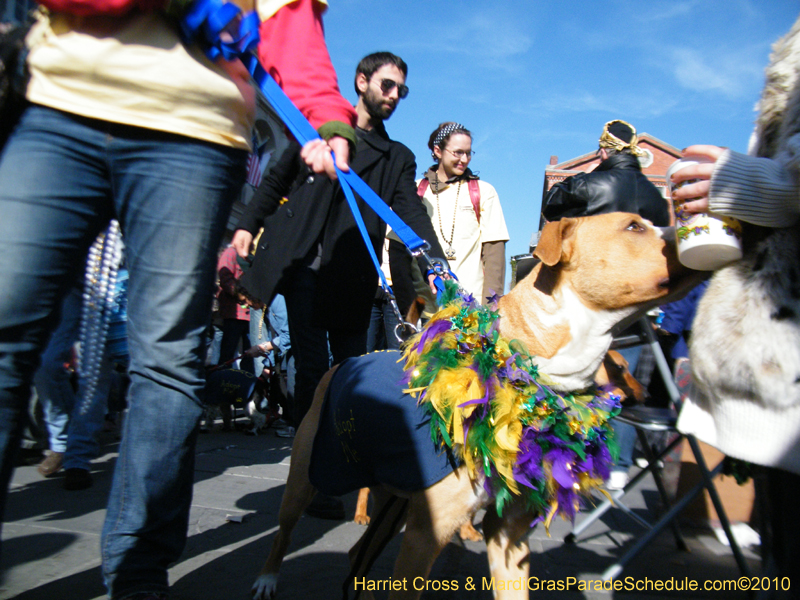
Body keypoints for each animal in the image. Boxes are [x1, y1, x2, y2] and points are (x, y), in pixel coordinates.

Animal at [250, 213, 692, 596]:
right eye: (634, 226)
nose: (696, 221)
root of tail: (347, 361)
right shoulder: (424, 536)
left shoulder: (510, 536)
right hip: (307, 474)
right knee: (285, 531)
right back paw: (267, 578)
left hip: (394, 497)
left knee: (359, 554)